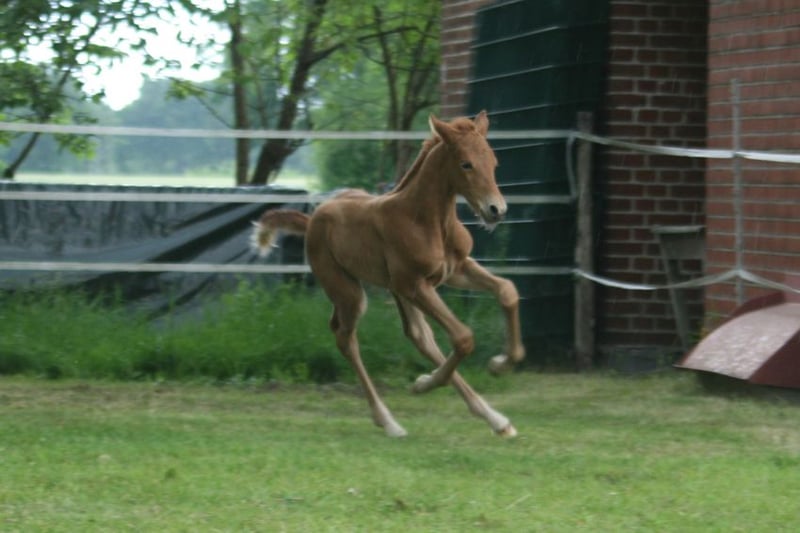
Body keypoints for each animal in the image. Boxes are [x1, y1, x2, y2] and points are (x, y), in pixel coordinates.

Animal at [251, 111, 525, 437]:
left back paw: (495, 419)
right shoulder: (416, 285)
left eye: (494, 162)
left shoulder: (455, 270)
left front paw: (501, 364)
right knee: (346, 338)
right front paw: (427, 382)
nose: (496, 210)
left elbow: (507, 291)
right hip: (350, 291)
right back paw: (389, 420)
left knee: (419, 335)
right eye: (466, 164)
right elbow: (463, 337)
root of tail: (313, 217)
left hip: (395, 289)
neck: (427, 220)